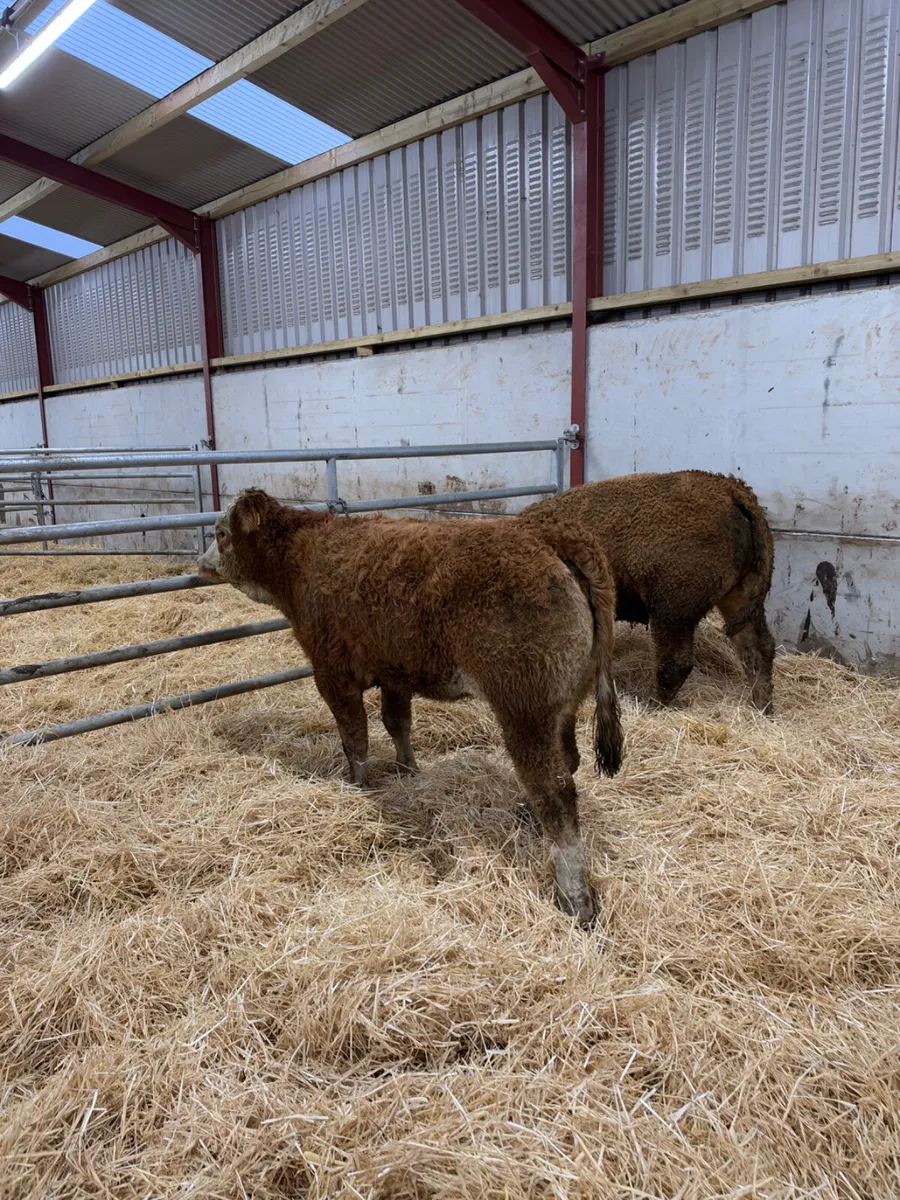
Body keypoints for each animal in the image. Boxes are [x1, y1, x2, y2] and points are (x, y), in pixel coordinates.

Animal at [198, 489, 624, 927]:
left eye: (221, 532)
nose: (200, 564)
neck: (305, 553)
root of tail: (547, 534)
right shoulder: (394, 673)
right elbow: (396, 722)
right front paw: (408, 771)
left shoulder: (331, 672)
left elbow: (355, 737)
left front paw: (357, 785)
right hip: (565, 703)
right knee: (567, 762)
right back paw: (527, 816)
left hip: (524, 708)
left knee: (555, 792)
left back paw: (575, 900)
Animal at [520, 470, 776, 713]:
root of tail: (732, 490)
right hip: (741, 598)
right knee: (757, 649)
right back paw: (762, 708)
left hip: (672, 612)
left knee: (674, 663)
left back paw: (652, 705)